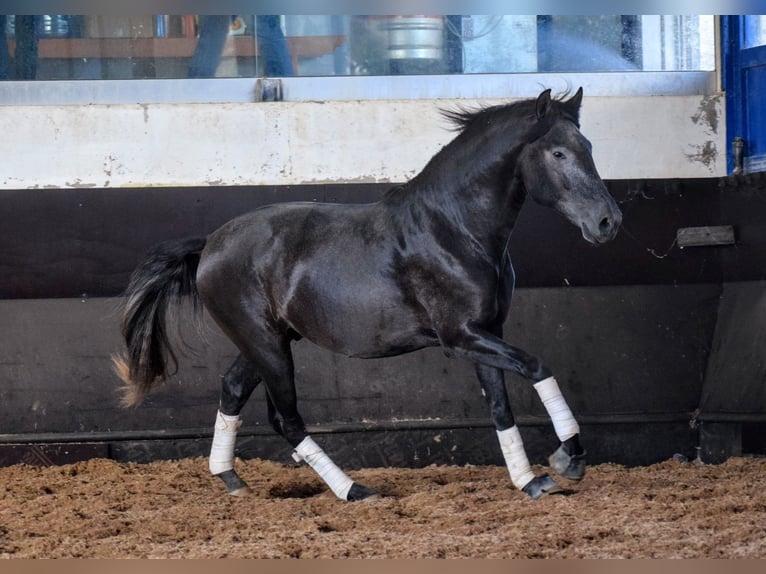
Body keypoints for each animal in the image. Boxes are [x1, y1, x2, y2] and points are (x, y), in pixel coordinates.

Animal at [117, 88, 628, 502]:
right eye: (558, 153)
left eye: (588, 148)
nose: (608, 222)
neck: (455, 230)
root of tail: (209, 245)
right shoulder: (460, 337)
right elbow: (537, 366)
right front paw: (569, 460)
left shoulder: (486, 332)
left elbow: (500, 407)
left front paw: (531, 481)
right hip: (266, 345)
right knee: (287, 418)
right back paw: (354, 490)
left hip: (268, 341)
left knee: (233, 390)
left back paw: (231, 479)